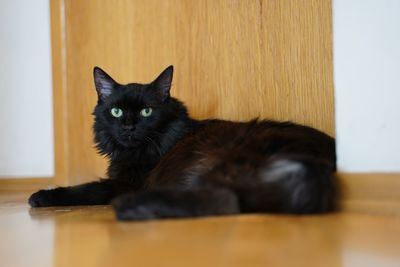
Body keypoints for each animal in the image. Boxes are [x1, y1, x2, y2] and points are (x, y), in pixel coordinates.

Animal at [28, 66, 336, 222]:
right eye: (116, 111)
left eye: (146, 112)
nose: (128, 127)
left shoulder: (127, 182)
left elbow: (86, 189)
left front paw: (42, 196)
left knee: (226, 201)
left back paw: (134, 209)